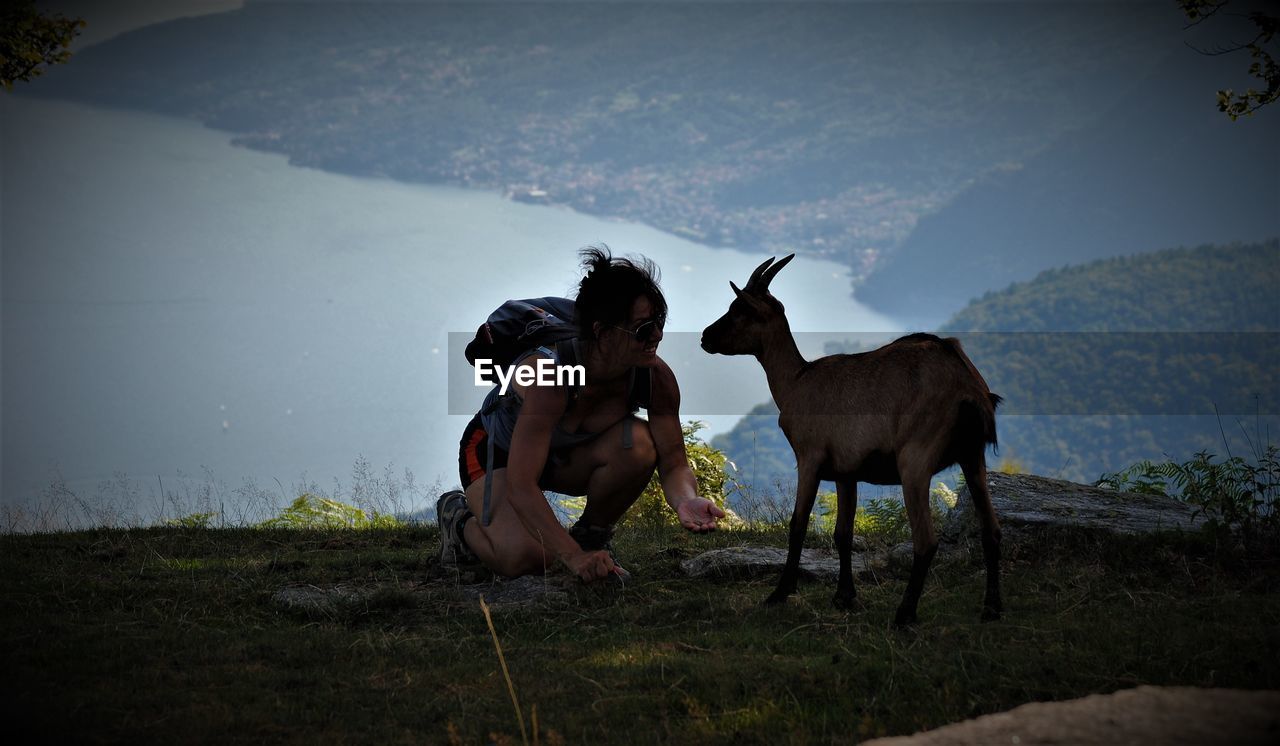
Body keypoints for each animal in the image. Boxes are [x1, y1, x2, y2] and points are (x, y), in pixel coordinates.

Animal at [701, 257, 998, 624]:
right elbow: (843, 533)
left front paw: (780, 593)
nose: (705, 336)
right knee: (992, 531)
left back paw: (904, 615)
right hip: (973, 456)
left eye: (738, 309)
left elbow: (798, 523)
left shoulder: (810, 457)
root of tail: (968, 387)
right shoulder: (847, 471)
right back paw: (991, 609)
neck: (796, 381)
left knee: (926, 540)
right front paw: (845, 596)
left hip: (915, 459)